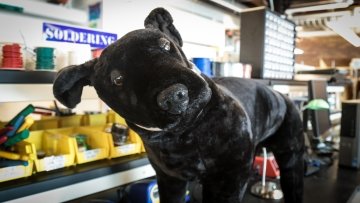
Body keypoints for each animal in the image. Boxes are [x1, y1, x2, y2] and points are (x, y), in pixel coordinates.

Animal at [53, 7, 304, 202]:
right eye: (117, 79)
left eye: (165, 45)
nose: (174, 95)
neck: (186, 134)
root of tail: (277, 93)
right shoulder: (170, 181)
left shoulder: (229, 181)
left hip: (291, 157)